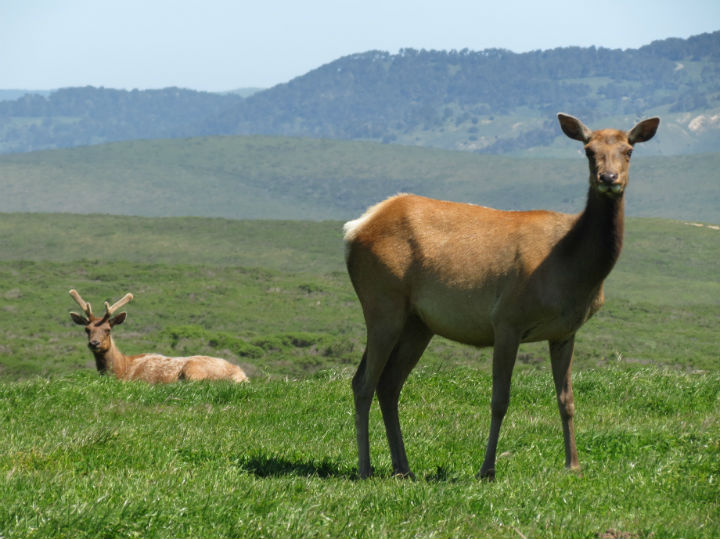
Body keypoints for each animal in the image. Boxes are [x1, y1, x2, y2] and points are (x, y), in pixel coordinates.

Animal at [68, 292, 248, 384]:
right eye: (87, 329)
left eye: (107, 330)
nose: (94, 343)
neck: (121, 369)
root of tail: (242, 376)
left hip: (193, 370)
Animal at [344, 112, 660, 478]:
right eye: (588, 150)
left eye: (628, 150)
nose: (608, 178)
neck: (571, 270)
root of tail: (354, 229)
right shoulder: (507, 319)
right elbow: (500, 400)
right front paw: (486, 469)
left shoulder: (565, 332)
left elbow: (566, 399)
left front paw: (573, 465)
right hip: (382, 303)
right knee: (363, 382)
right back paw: (365, 468)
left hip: (418, 323)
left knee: (389, 384)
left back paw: (403, 468)